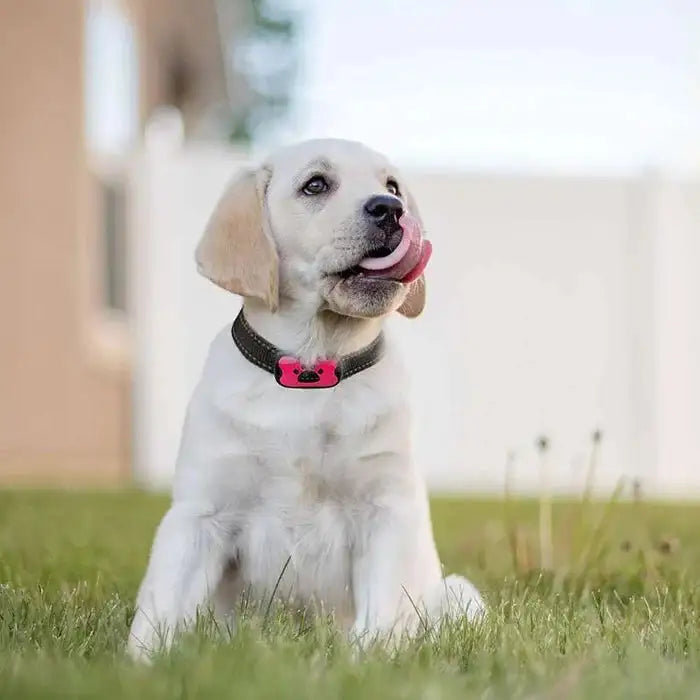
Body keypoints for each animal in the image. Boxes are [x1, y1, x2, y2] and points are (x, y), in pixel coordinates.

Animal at [129, 139, 484, 660]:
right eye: (315, 185)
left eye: (393, 186)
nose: (391, 209)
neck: (312, 372)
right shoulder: (200, 515)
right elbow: (161, 609)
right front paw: (143, 665)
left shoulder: (386, 511)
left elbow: (380, 616)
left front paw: (365, 663)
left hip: (459, 593)